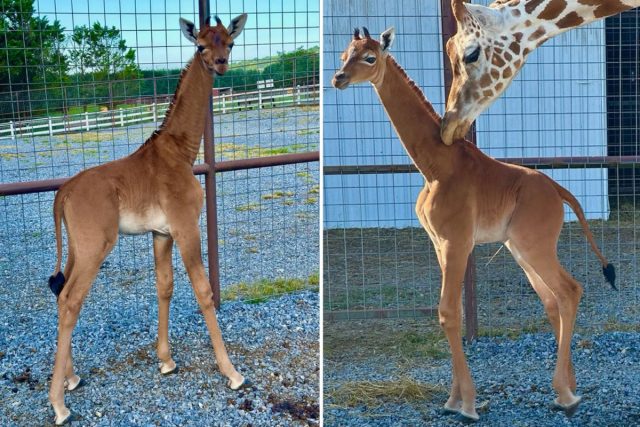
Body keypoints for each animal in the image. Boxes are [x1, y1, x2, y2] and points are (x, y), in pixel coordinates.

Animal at [46, 13, 248, 424]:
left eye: (230, 42)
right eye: (201, 45)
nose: (220, 64)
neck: (181, 152)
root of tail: (64, 193)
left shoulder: (161, 233)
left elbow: (165, 286)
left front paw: (166, 360)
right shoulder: (186, 227)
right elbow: (203, 291)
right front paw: (232, 373)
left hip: (76, 247)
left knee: (60, 293)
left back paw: (72, 378)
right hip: (96, 246)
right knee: (71, 300)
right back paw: (59, 404)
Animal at [332, 27, 612, 424]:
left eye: (369, 57)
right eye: (344, 54)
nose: (338, 78)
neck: (435, 166)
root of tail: (559, 191)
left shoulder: (457, 241)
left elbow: (448, 312)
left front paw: (466, 405)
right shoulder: (439, 243)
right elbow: (456, 313)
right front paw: (454, 400)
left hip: (535, 245)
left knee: (569, 290)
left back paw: (566, 395)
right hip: (519, 249)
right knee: (552, 299)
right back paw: (569, 388)